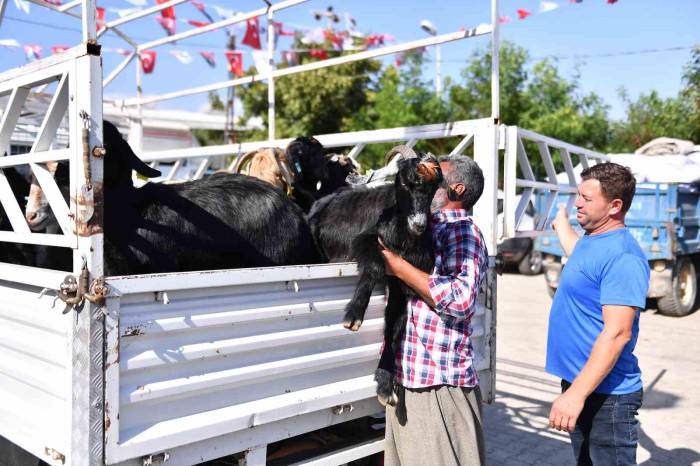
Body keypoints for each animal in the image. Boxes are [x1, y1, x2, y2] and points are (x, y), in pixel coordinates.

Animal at [308, 147, 442, 406]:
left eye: (435, 188)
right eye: (404, 182)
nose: (419, 225)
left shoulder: (403, 281)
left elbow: (395, 324)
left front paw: (385, 384)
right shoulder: (365, 241)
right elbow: (375, 267)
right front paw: (354, 316)